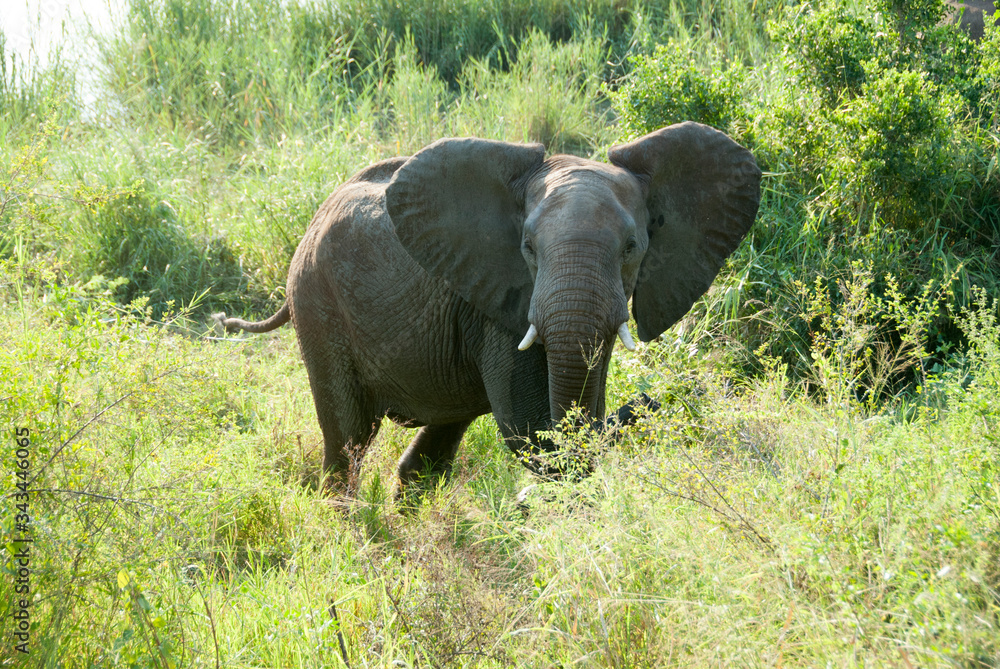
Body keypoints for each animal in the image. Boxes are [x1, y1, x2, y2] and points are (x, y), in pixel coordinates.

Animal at [216, 121, 761, 496]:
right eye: (528, 248)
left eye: (632, 247)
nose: (659, 400)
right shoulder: (500, 303)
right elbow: (533, 432)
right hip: (318, 302)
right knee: (349, 439)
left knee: (434, 445)